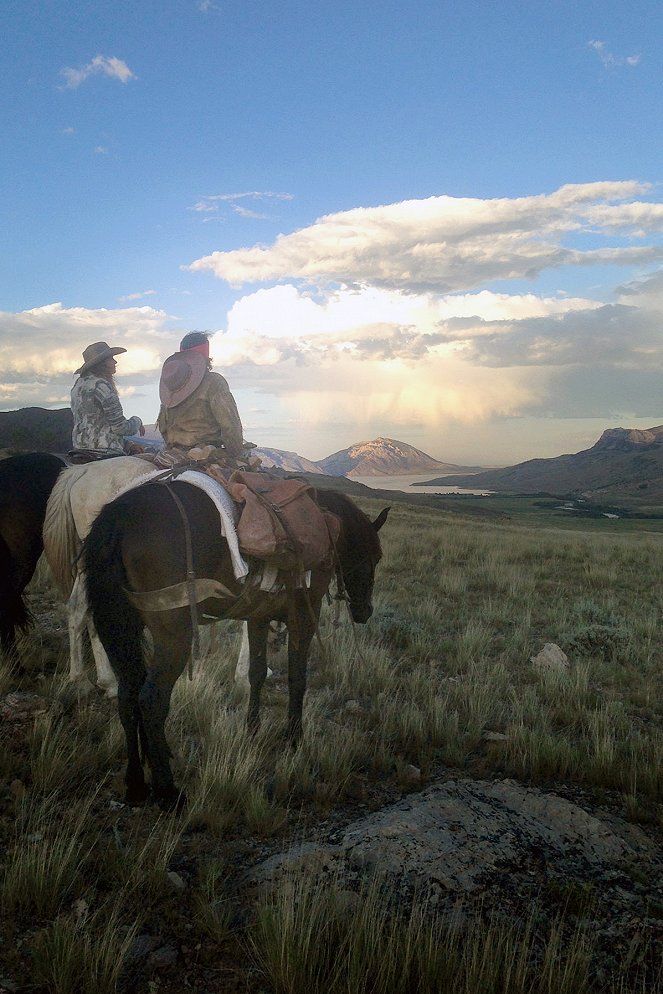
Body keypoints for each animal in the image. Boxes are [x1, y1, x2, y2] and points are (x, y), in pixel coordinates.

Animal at [83, 476, 390, 808]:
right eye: (375, 556)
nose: (364, 611)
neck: (327, 524)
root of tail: (120, 516)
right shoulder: (304, 617)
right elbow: (297, 678)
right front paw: (294, 738)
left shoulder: (258, 616)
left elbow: (256, 673)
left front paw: (252, 729)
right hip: (174, 637)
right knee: (151, 700)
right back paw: (168, 792)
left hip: (121, 629)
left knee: (127, 697)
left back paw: (137, 784)